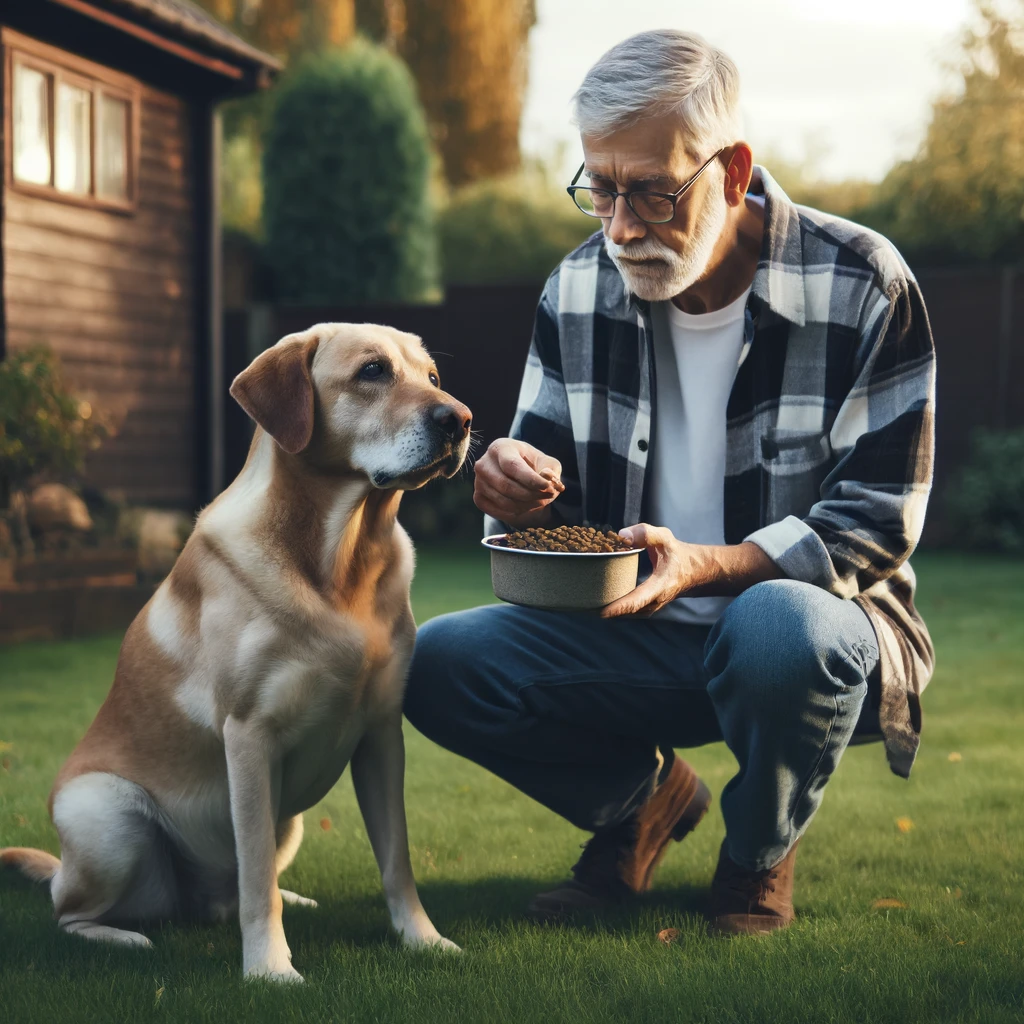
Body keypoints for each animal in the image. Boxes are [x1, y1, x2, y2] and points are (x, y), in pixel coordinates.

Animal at [0, 323, 471, 978]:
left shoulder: (382, 736)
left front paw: (423, 940)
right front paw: (271, 970)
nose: (462, 420)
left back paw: (292, 899)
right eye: (373, 371)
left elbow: (396, 860)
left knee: (234, 892)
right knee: (69, 913)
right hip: (105, 817)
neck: (345, 563)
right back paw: (121, 937)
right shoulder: (249, 738)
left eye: (431, 377)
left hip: (288, 823)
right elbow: (254, 879)